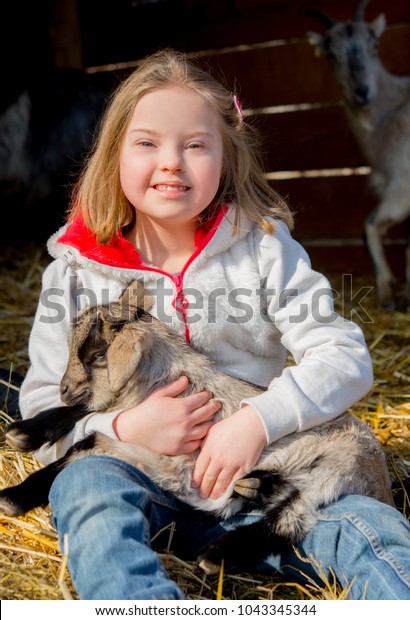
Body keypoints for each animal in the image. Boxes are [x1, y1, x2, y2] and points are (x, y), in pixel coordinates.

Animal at [306, 0, 410, 310]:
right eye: (331, 54)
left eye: (374, 44)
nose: (362, 91)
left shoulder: (402, 183)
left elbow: (369, 225)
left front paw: (387, 292)